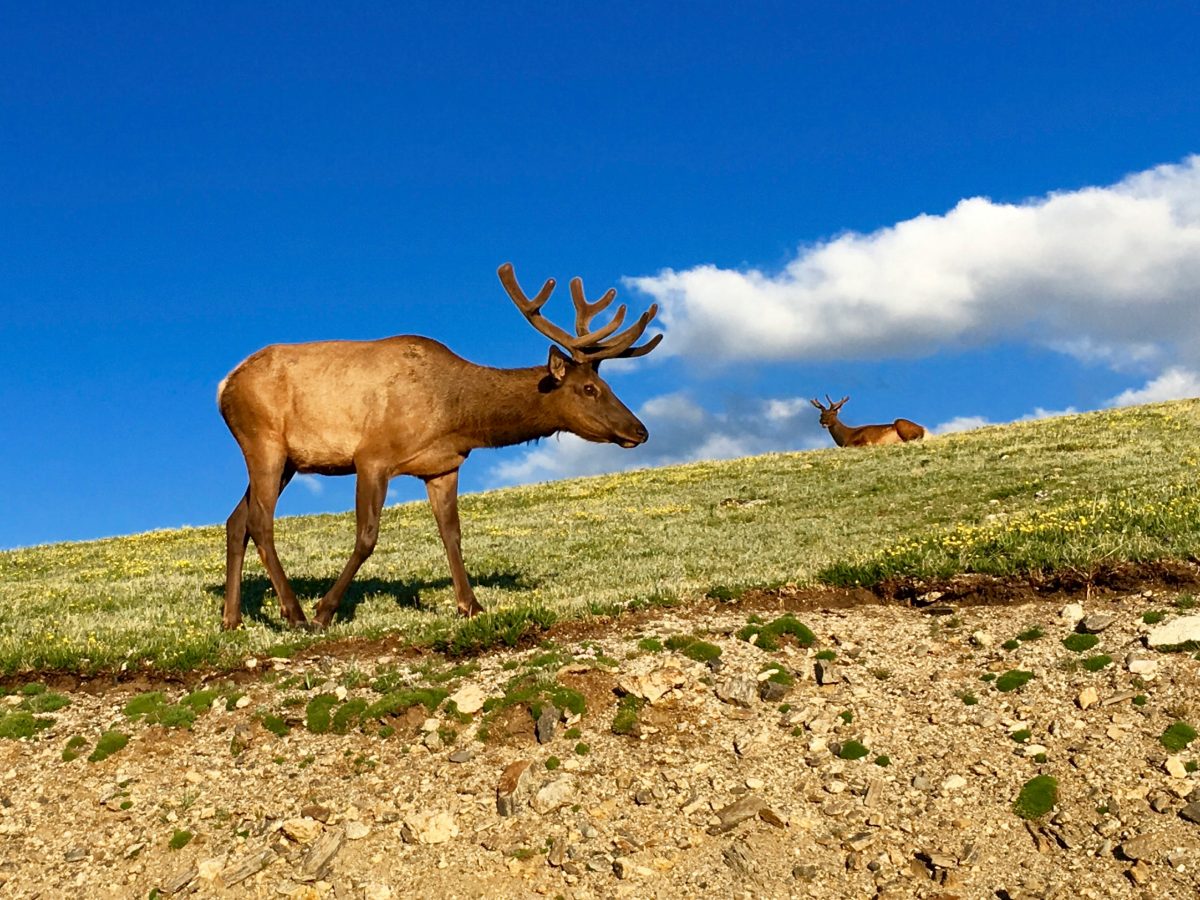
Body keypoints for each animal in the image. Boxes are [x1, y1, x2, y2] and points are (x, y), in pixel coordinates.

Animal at [217, 263, 662, 631]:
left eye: (606, 384)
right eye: (589, 388)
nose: (640, 431)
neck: (455, 418)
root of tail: (224, 385)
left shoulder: (442, 466)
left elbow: (452, 533)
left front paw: (471, 605)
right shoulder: (373, 456)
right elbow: (367, 536)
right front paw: (325, 611)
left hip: (290, 459)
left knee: (237, 520)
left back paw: (232, 619)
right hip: (264, 440)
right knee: (260, 521)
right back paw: (293, 613)